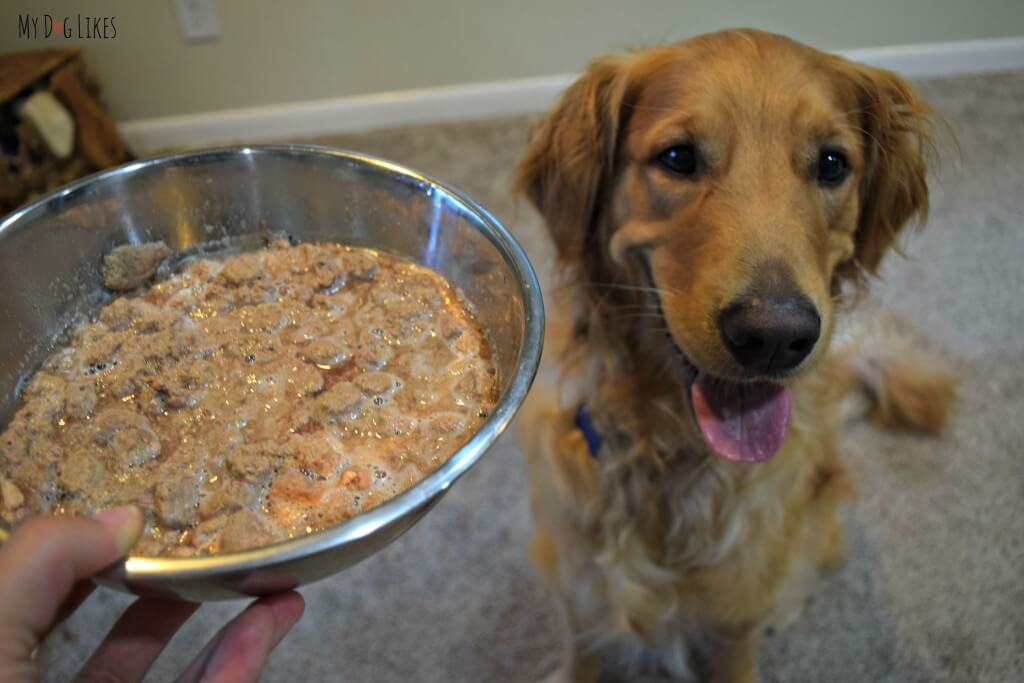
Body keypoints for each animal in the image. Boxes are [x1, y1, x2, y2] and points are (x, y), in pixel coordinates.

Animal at [516, 29, 954, 679]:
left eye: (832, 164)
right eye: (678, 158)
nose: (774, 336)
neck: (667, 453)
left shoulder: (738, 614)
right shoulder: (579, 585)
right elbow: (583, 649)